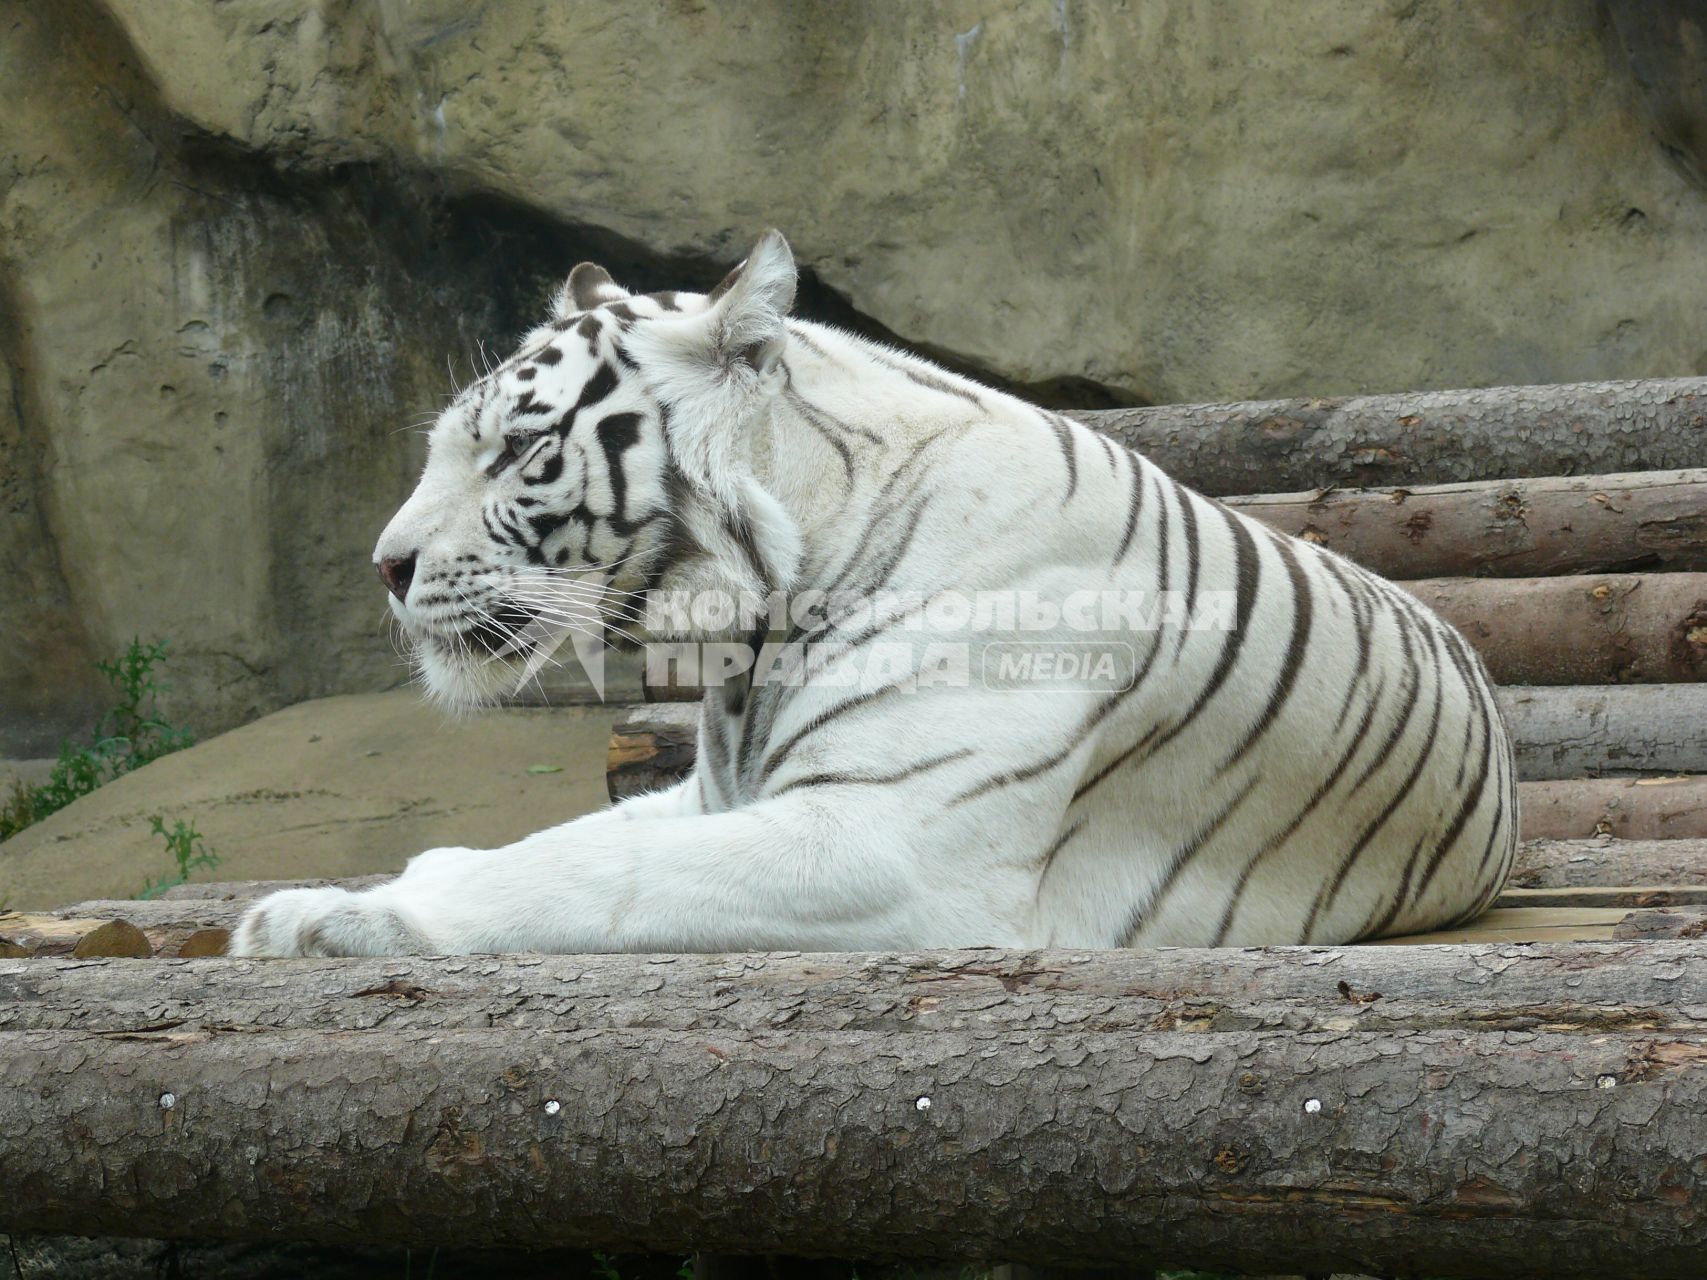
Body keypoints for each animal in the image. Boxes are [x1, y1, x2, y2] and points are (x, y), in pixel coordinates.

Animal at [233, 228, 1515, 962]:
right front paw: (321, 896)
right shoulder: (712, 793)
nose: (385, 564)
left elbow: (585, 872)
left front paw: (334, 919)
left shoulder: (891, 840)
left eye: (517, 448)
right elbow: (554, 838)